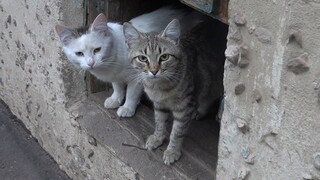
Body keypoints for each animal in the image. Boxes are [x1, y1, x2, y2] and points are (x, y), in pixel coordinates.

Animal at [123, 18, 225, 165]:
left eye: (164, 57)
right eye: (142, 58)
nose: (154, 71)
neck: (159, 87)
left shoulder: (184, 108)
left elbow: (177, 132)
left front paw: (172, 151)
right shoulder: (159, 105)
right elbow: (160, 123)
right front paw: (157, 138)